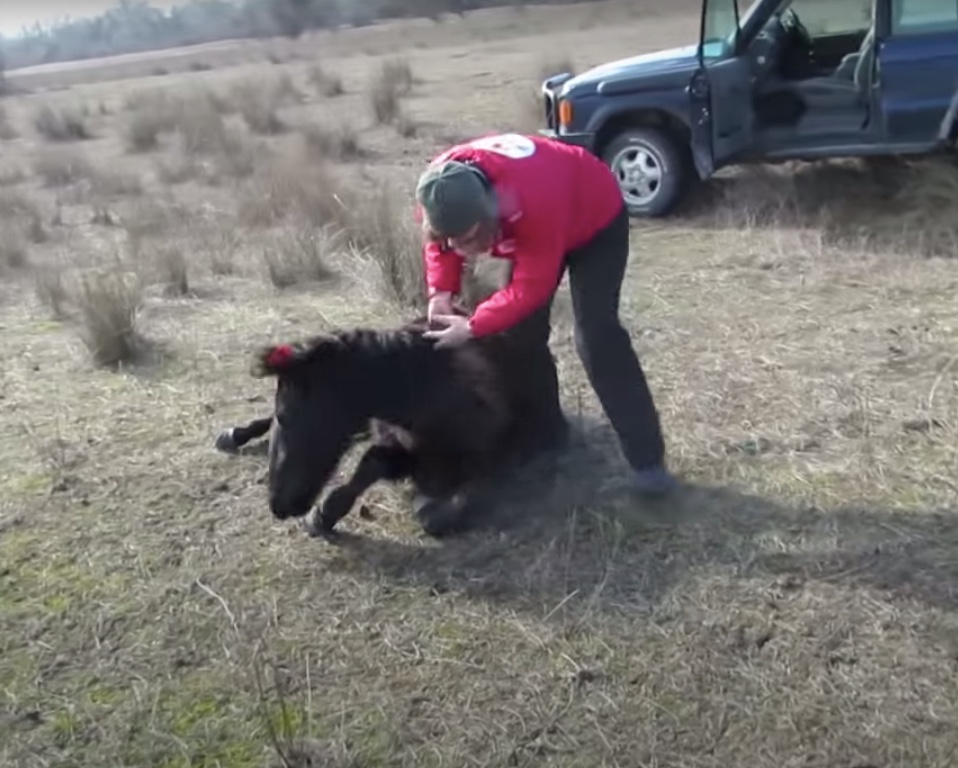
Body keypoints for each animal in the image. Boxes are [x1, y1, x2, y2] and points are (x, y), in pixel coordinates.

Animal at [218, 308, 568, 536]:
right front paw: (324, 515)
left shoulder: (494, 462)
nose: (279, 505)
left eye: (287, 415)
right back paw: (233, 434)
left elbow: (438, 513)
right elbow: (370, 464)